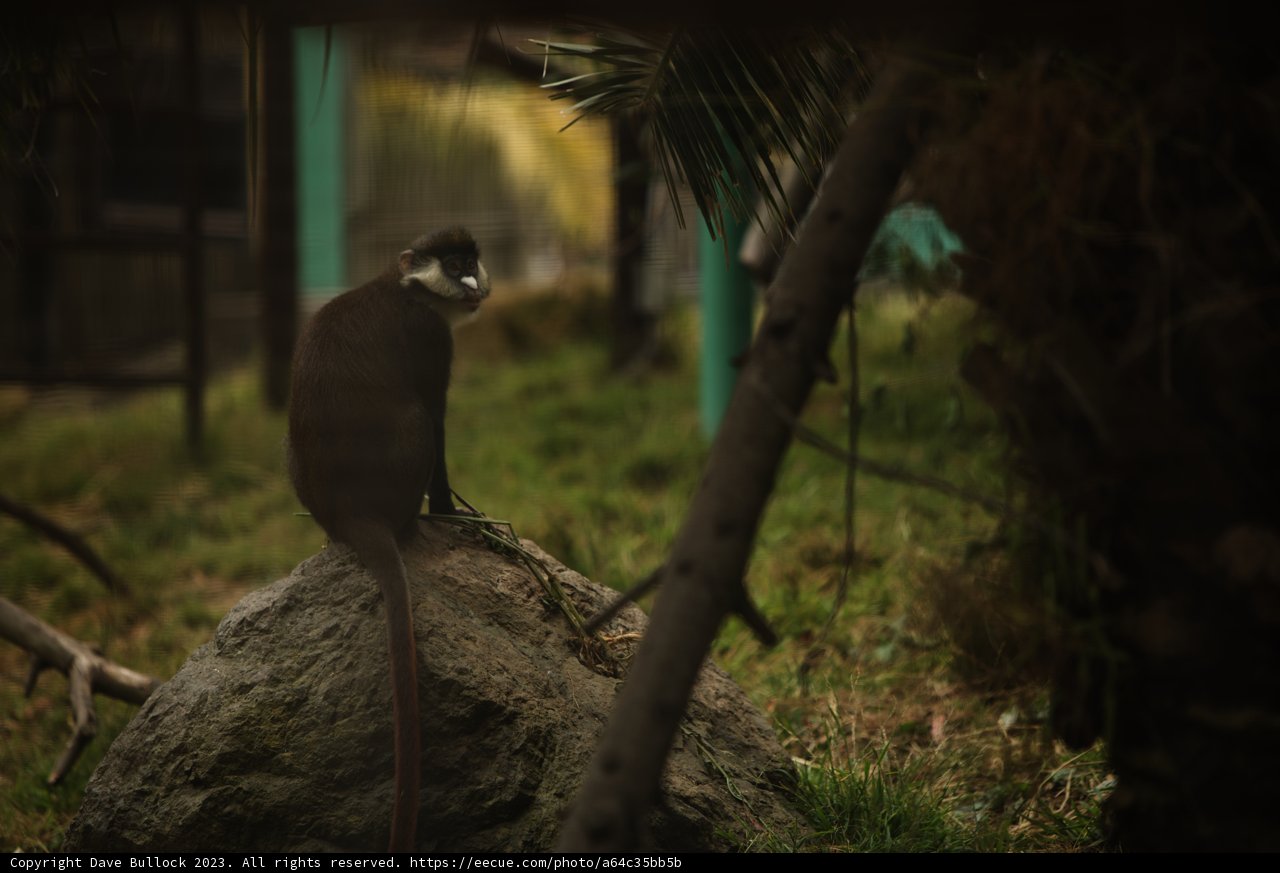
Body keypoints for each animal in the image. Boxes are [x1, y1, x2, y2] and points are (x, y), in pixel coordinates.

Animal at [286, 226, 490, 852]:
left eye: (473, 260)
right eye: (456, 263)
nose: (477, 284)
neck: (406, 287)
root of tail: (349, 515)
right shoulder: (429, 336)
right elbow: (439, 420)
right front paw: (450, 513)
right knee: (421, 419)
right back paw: (413, 523)